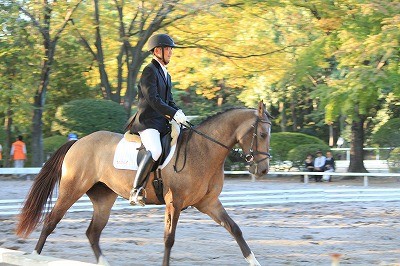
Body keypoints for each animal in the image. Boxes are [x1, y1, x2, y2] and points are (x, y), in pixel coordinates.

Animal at [15, 101, 272, 264]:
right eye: (262, 134)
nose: (263, 170)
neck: (204, 150)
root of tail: (78, 141)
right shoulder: (174, 202)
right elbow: (169, 240)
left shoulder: (208, 203)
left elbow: (235, 229)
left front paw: (254, 261)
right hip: (72, 189)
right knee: (51, 221)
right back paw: (36, 258)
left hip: (103, 198)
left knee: (92, 233)